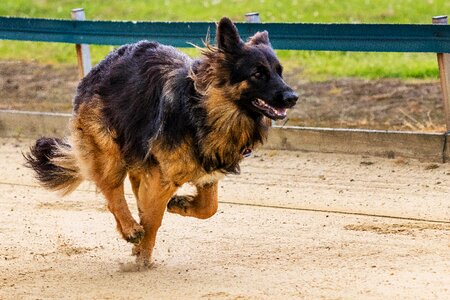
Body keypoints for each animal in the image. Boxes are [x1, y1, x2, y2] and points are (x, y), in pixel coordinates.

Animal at [24, 17, 298, 266]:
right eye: (258, 74)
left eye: (279, 72)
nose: (293, 97)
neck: (204, 109)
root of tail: (104, 63)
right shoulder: (161, 177)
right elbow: (153, 218)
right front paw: (142, 259)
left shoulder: (205, 171)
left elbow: (209, 208)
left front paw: (181, 205)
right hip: (107, 149)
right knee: (112, 192)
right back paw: (130, 229)